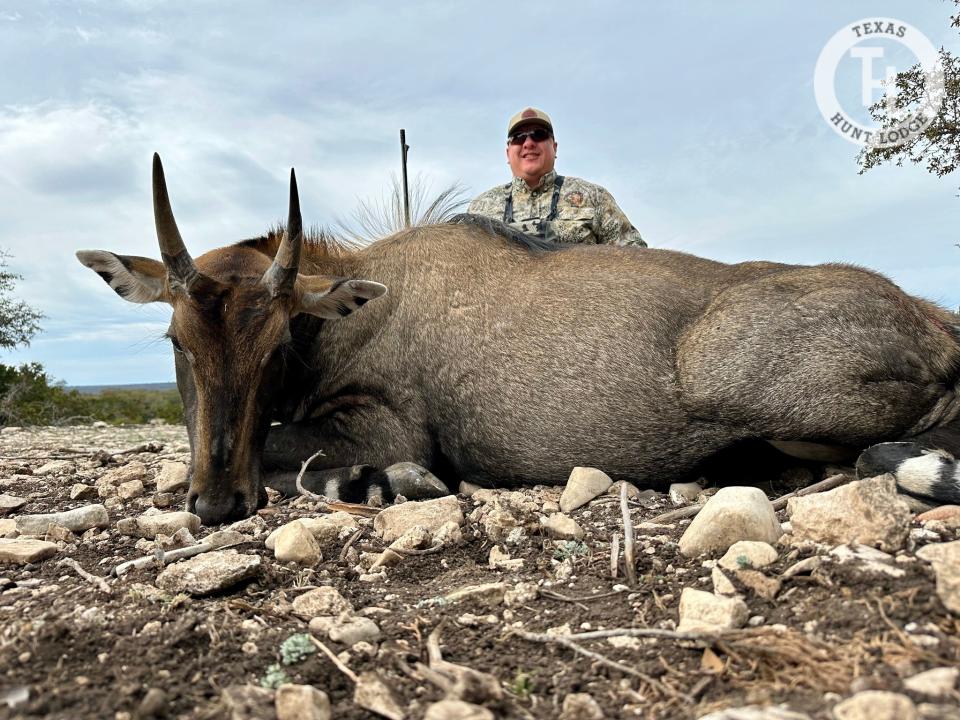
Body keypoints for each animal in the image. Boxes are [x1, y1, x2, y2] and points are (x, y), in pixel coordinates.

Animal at [79, 155, 960, 524]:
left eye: (278, 343)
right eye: (176, 339)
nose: (217, 504)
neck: (358, 298)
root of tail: (932, 317)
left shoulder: (388, 424)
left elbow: (285, 450)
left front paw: (386, 482)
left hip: (738, 380)